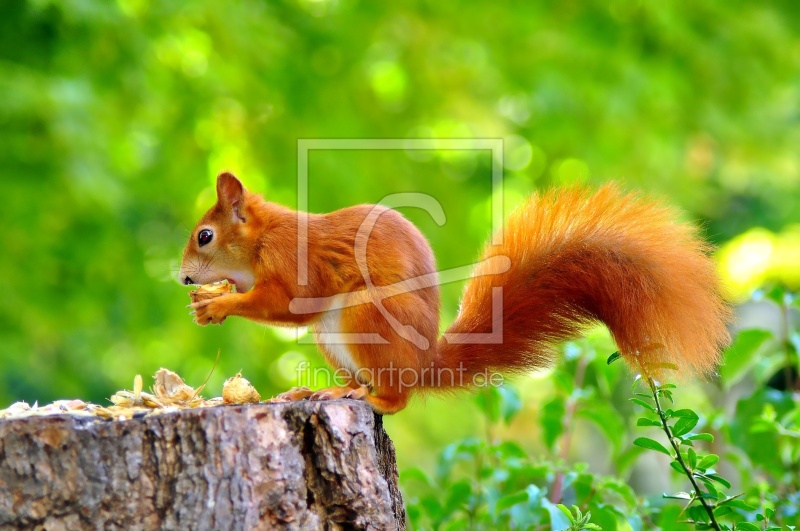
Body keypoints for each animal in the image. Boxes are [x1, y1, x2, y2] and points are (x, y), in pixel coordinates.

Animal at [180, 172, 732, 414]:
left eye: (205, 236)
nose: (184, 278)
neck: (262, 239)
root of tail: (425, 363)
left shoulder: (294, 263)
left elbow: (290, 303)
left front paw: (221, 302)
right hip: (334, 339)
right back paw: (317, 391)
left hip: (365, 316)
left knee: (396, 399)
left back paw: (364, 396)